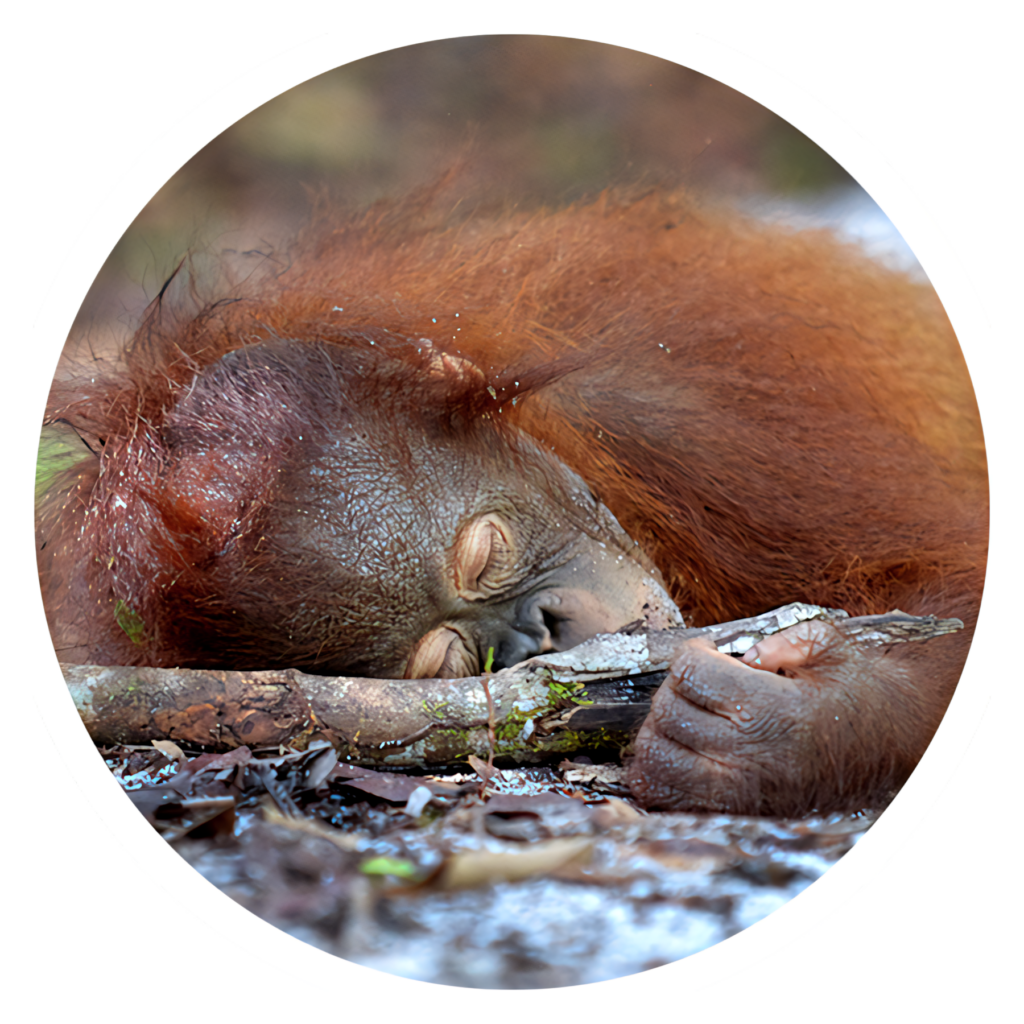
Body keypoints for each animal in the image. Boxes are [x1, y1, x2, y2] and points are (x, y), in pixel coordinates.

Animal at [36, 185, 987, 818]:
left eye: (484, 550)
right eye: (450, 660)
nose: (542, 630)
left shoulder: (691, 422)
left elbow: (954, 565)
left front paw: (802, 721)